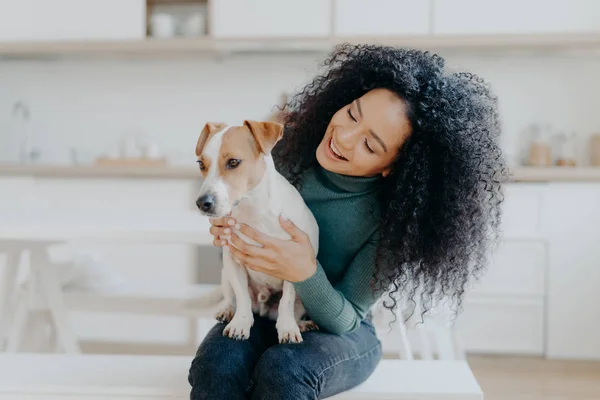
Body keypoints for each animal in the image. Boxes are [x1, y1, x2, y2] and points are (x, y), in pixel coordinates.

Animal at [195, 119, 322, 344]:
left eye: (233, 162)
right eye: (201, 164)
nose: (202, 203)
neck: (253, 212)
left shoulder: (293, 264)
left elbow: (287, 301)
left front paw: (287, 327)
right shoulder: (233, 261)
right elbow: (242, 296)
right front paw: (241, 323)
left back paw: (301, 323)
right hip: (225, 273)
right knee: (231, 296)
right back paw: (227, 310)